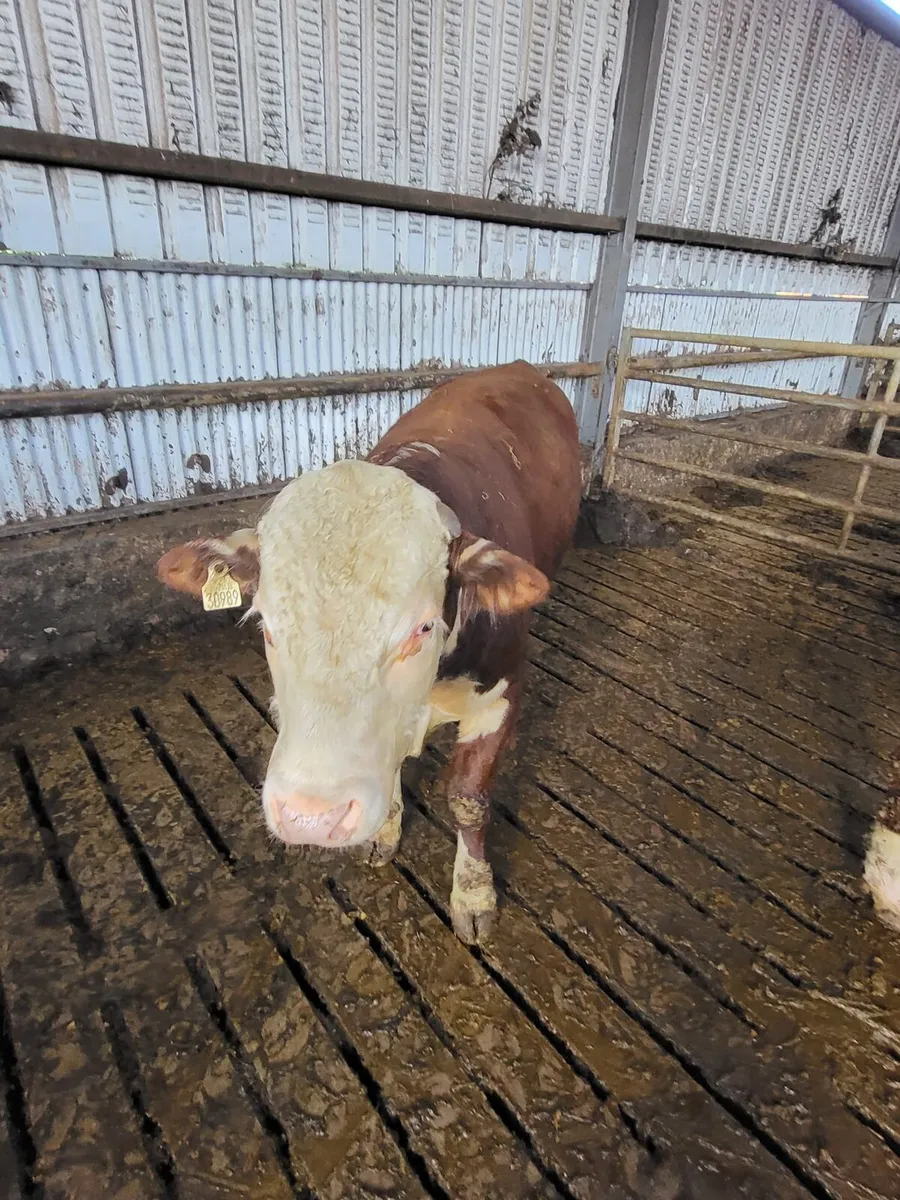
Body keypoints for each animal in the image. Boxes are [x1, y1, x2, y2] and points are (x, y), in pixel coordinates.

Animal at [157, 361, 581, 942]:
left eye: (422, 627)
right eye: (267, 625)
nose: (313, 817)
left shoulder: (503, 690)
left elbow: (469, 800)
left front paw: (473, 894)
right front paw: (386, 831)